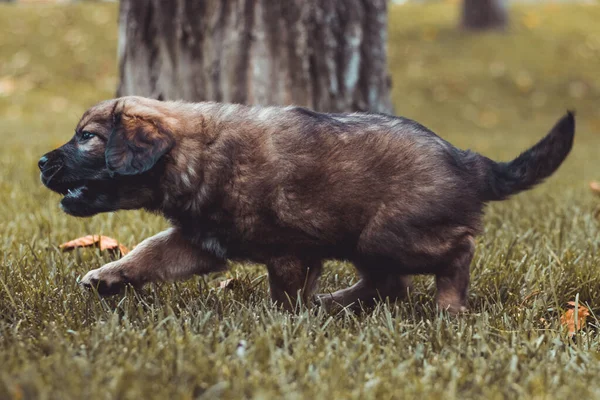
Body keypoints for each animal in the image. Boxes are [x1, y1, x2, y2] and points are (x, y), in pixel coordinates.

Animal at [38, 97, 576, 312]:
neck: (197, 154)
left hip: (390, 235)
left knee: (455, 253)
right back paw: (335, 304)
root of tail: (468, 160)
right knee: (388, 285)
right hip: (368, 241)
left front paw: (285, 324)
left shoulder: (289, 251)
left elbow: (285, 294)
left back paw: (449, 305)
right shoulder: (200, 241)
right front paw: (108, 276)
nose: (41, 162)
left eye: (87, 138)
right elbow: (149, 251)